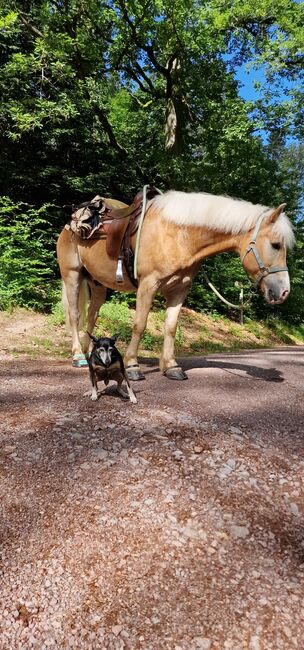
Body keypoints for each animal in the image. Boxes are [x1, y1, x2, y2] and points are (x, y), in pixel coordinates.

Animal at [55, 187, 294, 380]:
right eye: (275, 245)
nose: (283, 292)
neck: (177, 235)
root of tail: (69, 224)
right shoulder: (148, 285)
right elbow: (139, 324)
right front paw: (132, 366)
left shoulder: (179, 290)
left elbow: (170, 327)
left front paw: (171, 366)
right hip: (72, 276)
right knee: (75, 315)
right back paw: (78, 355)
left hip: (97, 284)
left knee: (92, 315)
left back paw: (90, 353)